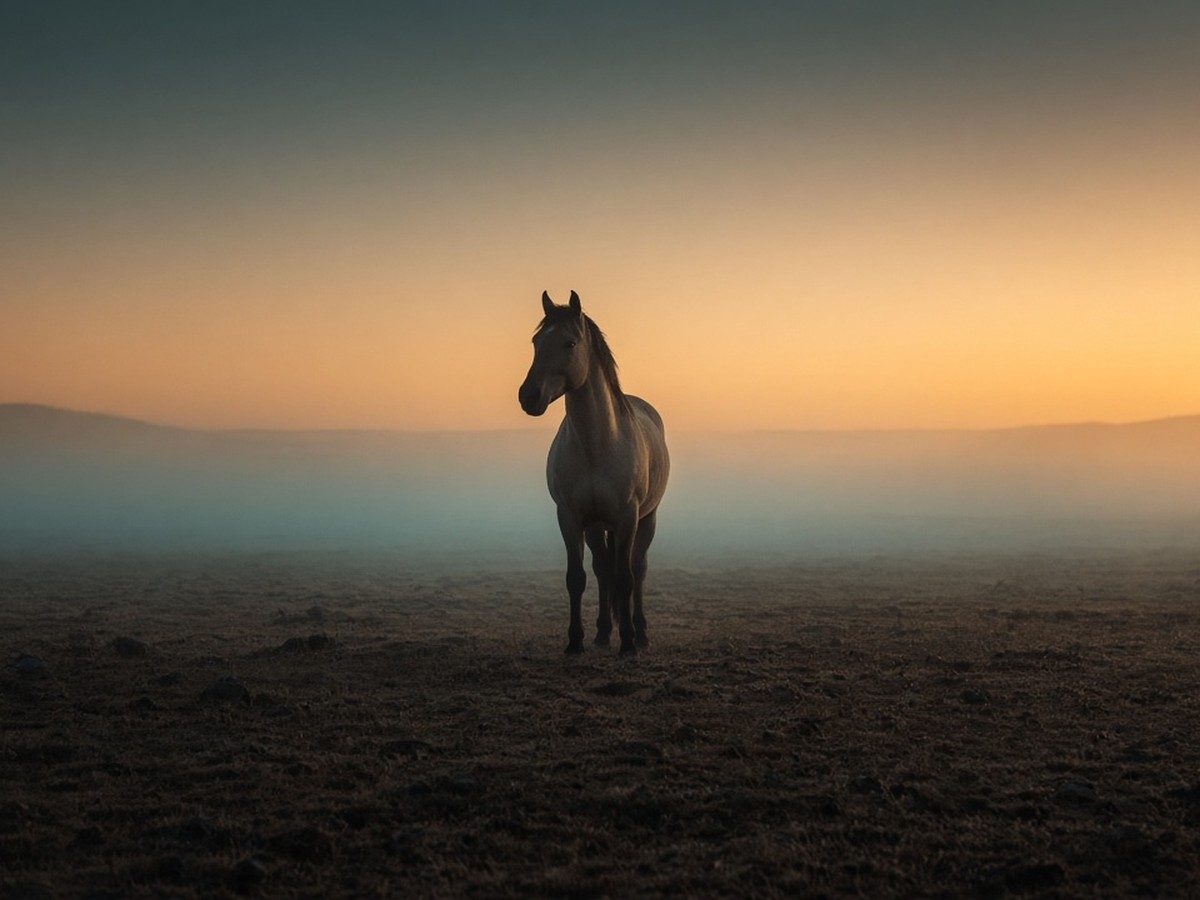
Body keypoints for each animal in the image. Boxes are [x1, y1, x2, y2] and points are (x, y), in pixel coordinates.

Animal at [518, 290, 670, 656]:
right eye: (536, 341)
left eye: (569, 343)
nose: (528, 396)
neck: (596, 446)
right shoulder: (571, 517)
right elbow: (578, 578)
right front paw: (576, 640)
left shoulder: (628, 517)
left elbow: (626, 579)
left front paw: (628, 643)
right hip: (597, 525)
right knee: (603, 570)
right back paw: (602, 633)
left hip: (648, 518)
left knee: (637, 569)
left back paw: (640, 633)